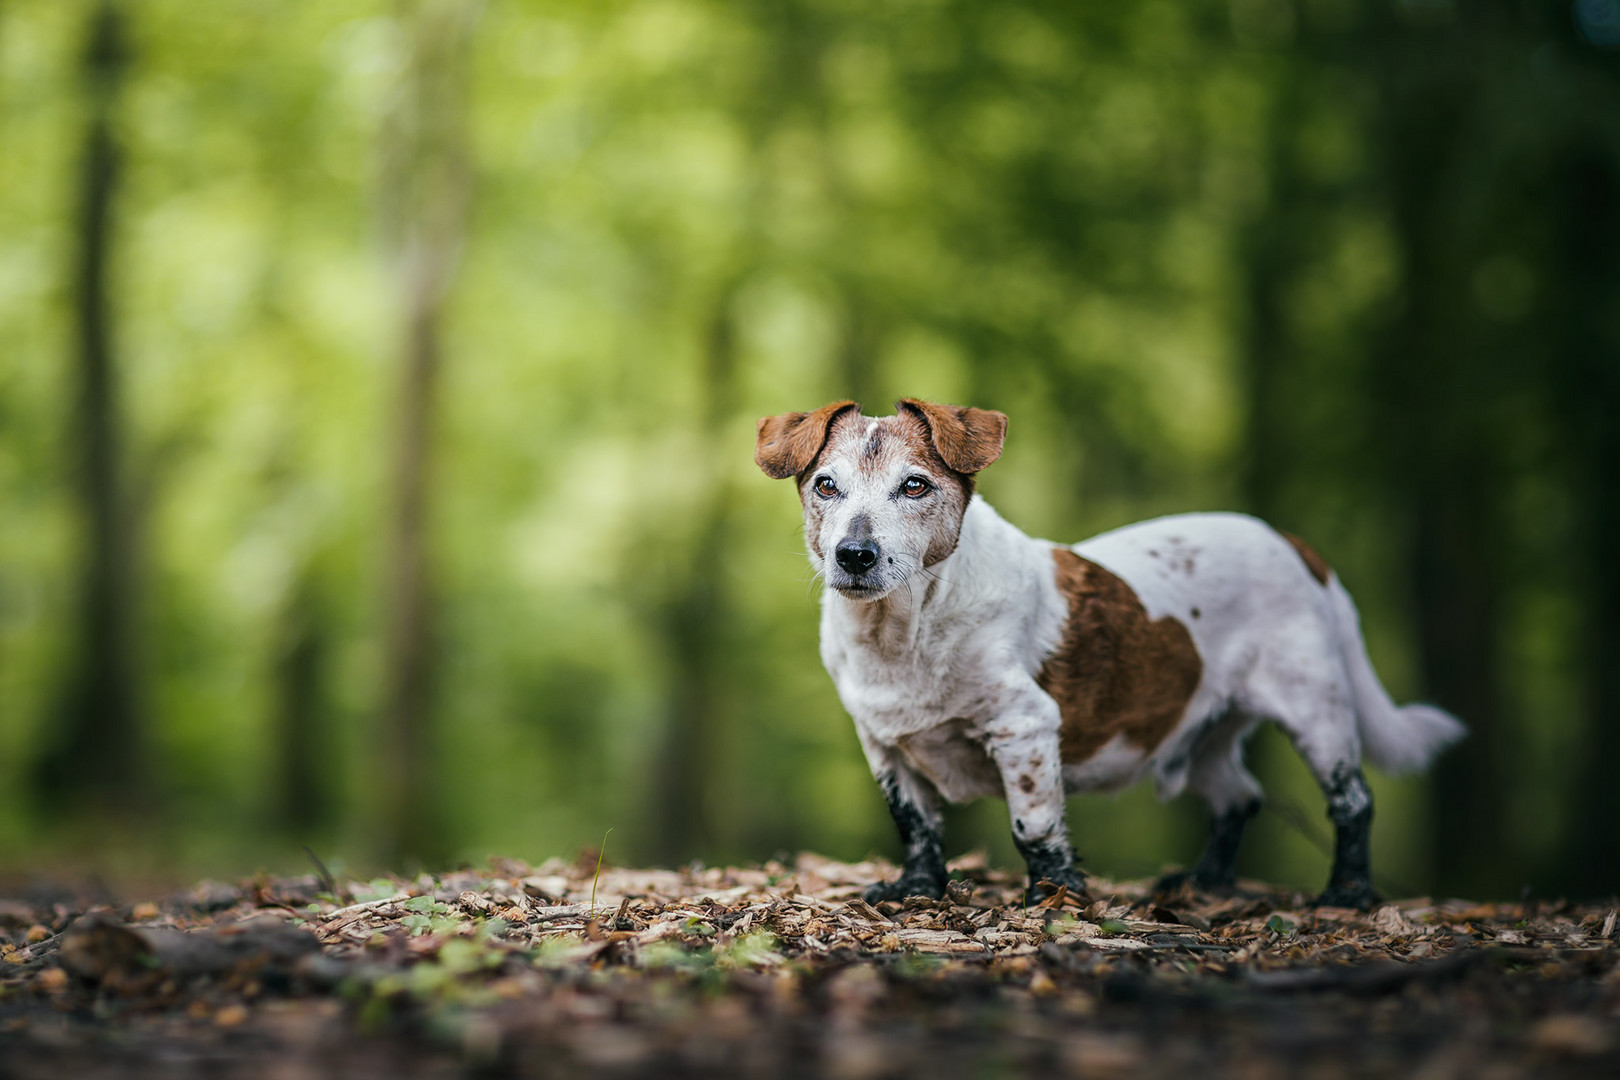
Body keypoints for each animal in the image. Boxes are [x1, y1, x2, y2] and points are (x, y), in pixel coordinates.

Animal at [758, 401, 1470, 906]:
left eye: (913, 486)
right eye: (826, 486)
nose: (854, 555)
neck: (903, 632)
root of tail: (1296, 546)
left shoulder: (1024, 729)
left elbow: (1034, 826)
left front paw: (1053, 896)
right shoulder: (884, 746)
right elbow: (915, 826)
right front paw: (916, 891)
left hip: (1316, 710)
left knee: (1353, 802)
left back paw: (1347, 894)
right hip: (1198, 731)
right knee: (1239, 796)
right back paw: (1206, 883)